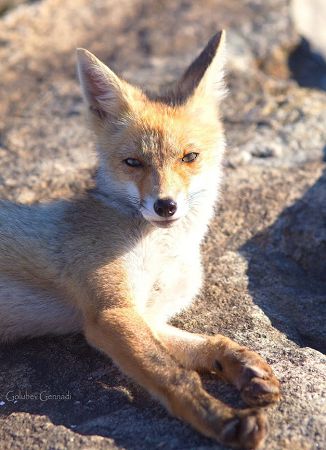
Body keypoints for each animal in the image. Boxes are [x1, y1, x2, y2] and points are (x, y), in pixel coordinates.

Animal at [0, 30, 280, 446]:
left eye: (189, 157)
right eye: (133, 163)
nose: (165, 205)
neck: (165, 253)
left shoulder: (146, 314)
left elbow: (208, 345)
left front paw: (245, 367)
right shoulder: (111, 313)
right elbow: (175, 375)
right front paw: (223, 418)